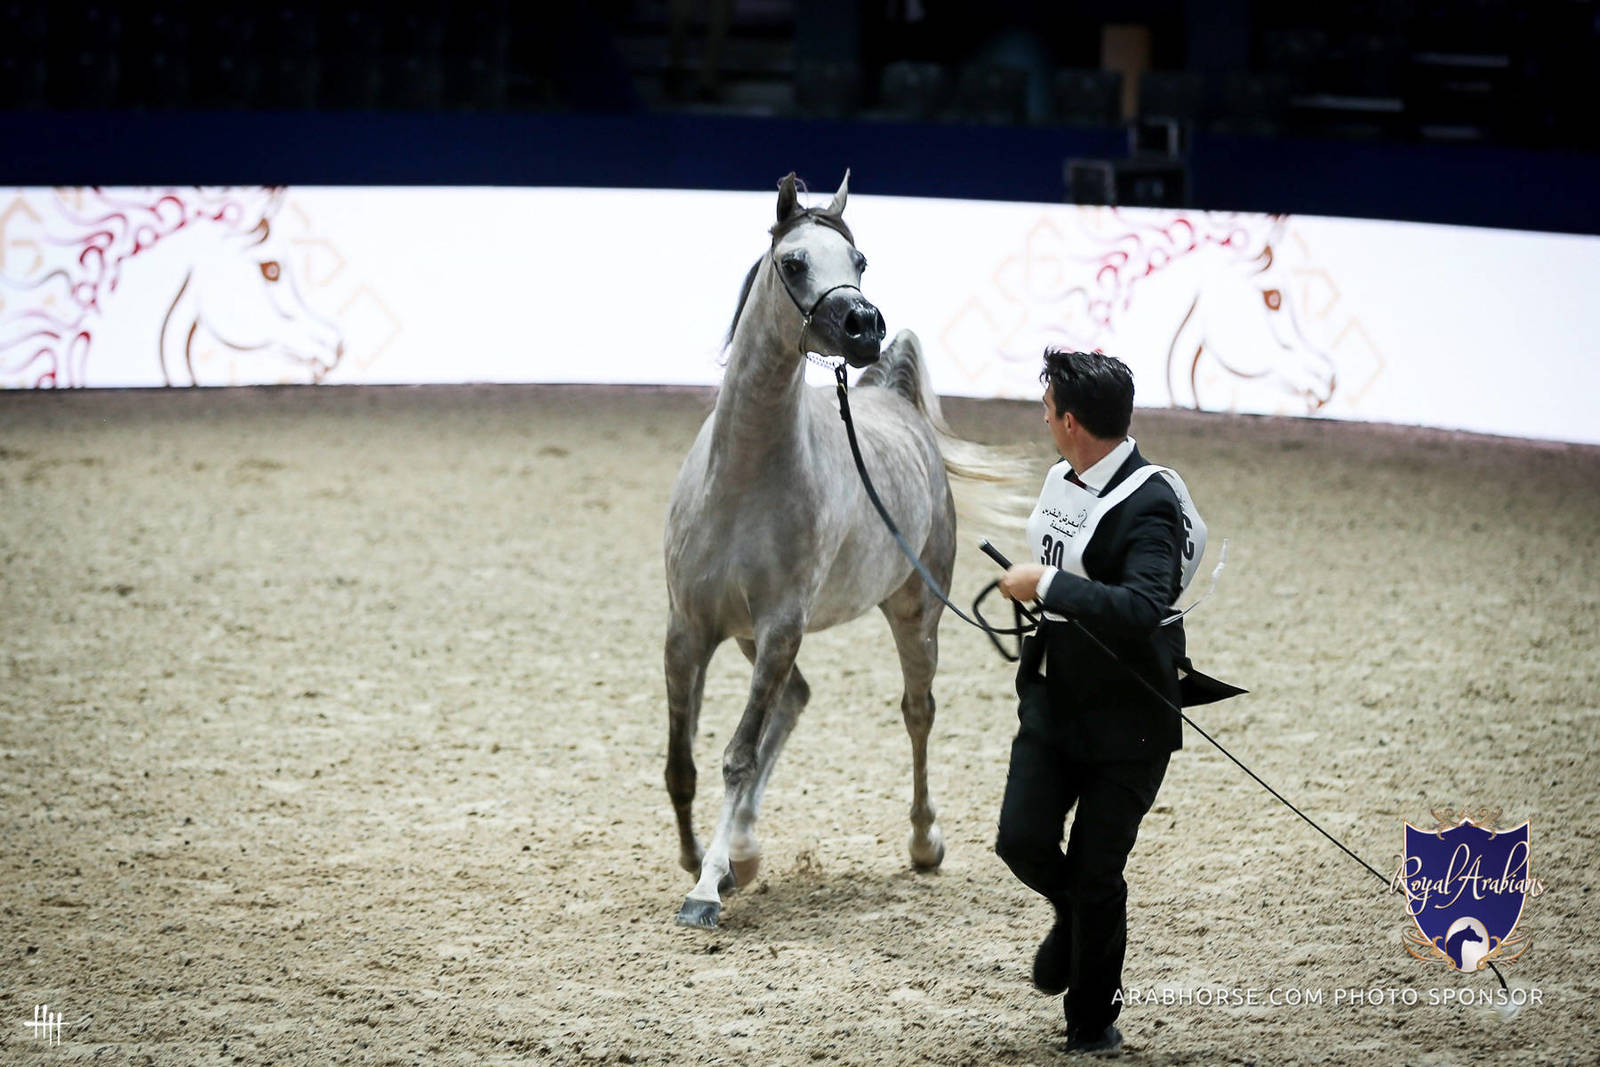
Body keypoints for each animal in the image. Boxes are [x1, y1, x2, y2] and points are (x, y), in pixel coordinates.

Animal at [663, 172, 990, 928]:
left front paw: (706, 887)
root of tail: (896, 399)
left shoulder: (781, 627)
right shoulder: (689, 630)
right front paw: (704, 860)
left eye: (860, 260)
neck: (743, 479)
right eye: (794, 263)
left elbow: (738, 755)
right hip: (752, 637)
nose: (864, 325)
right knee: (796, 700)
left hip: (914, 616)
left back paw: (923, 842)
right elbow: (682, 762)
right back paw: (744, 848)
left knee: (917, 712)